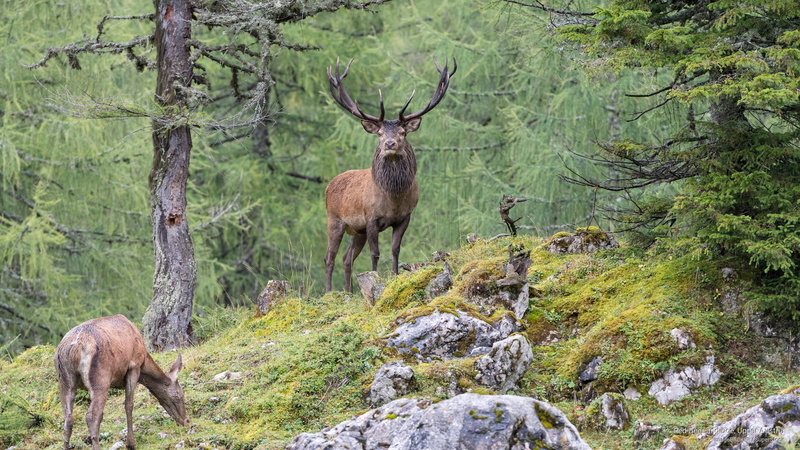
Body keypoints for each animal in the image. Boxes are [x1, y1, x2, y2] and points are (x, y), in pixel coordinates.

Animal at [54, 314, 190, 450]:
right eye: (180, 395)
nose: (186, 421)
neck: (144, 360)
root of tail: (75, 348)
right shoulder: (134, 366)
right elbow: (128, 405)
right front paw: (130, 443)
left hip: (65, 382)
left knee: (68, 419)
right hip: (100, 380)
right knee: (91, 417)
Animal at [324, 56, 457, 292]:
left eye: (403, 132)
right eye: (379, 132)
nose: (390, 143)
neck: (393, 197)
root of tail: (328, 186)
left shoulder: (405, 217)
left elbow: (395, 249)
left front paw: (394, 277)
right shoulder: (371, 218)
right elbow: (375, 253)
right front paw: (374, 278)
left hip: (356, 230)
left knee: (347, 258)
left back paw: (349, 291)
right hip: (335, 220)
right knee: (329, 257)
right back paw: (328, 292)